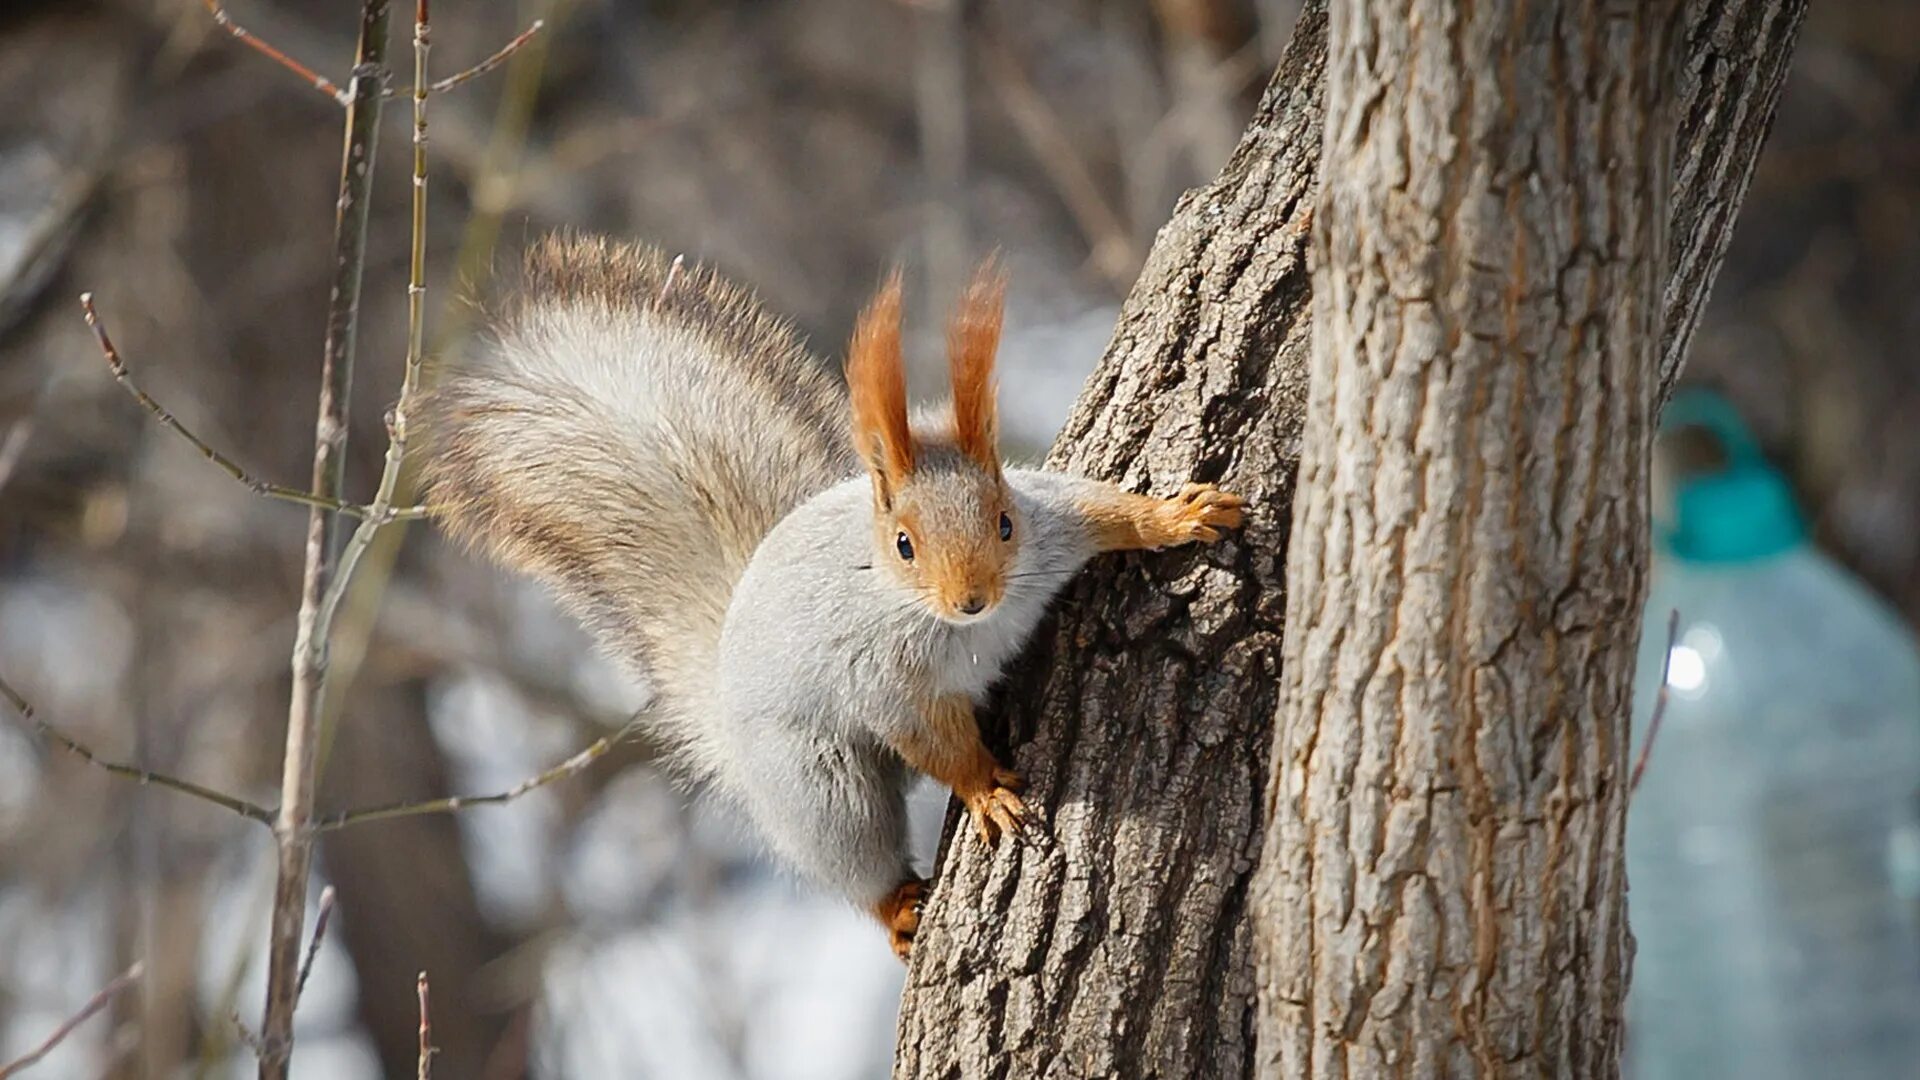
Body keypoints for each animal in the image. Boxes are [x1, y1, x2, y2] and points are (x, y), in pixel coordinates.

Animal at [424, 231, 1244, 953]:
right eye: (905, 544)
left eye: (1004, 523)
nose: (971, 599)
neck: (963, 625)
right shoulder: (883, 673)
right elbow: (931, 739)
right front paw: (985, 788)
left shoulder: (1054, 526)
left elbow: (1104, 510)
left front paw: (1177, 517)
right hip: (816, 785)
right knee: (857, 853)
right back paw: (896, 909)